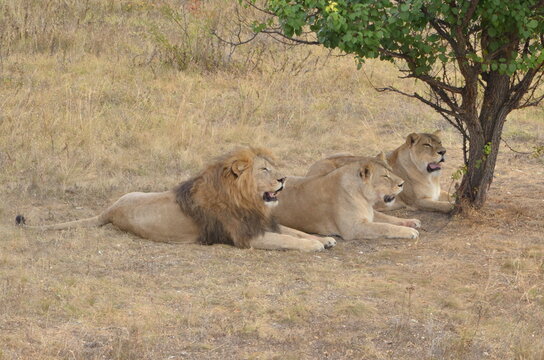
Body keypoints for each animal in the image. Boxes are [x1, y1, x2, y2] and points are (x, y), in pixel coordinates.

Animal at [17, 148, 336, 252]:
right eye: (265, 170)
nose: (284, 179)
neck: (248, 200)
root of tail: (110, 210)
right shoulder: (246, 237)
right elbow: (288, 238)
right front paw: (314, 245)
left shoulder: (263, 222)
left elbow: (295, 231)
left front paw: (325, 239)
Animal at [272, 153, 420, 240]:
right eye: (385, 176)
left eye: (391, 171)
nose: (402, 183)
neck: (364, 198)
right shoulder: (353, 228)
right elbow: (384, 226)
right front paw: (409, 231)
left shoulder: (368, 214)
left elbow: (388, 219)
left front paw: (411, 222)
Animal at [306, 130, 454, 212]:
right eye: (427, 145)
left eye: (440, 142)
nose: (443, 151)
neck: (429, 176)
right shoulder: (416, 201)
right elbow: (443, 206)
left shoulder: (437, 192)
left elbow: (451, 195)